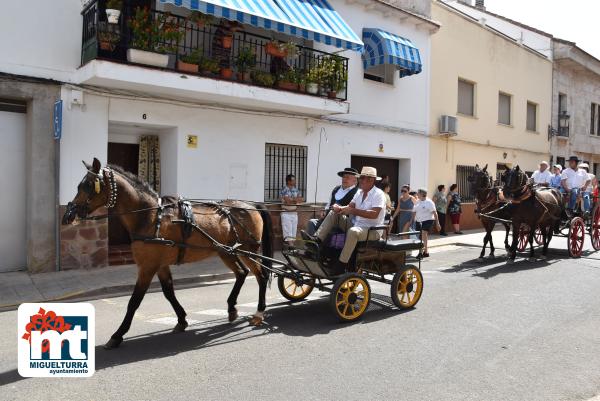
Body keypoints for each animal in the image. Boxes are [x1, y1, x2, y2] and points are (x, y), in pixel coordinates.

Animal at [62, 158, 274, 348]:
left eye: (89, 185)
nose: (68, 215)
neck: (150, 216)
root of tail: (251, 205)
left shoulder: (147, 266)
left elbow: (134, 301)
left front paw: (118, 335)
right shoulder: (160, 265)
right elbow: (168, 292)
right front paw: (181, 320)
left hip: (250, 250)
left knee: (261, 276)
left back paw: (259, 312)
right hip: (226, 251)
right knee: (242, 273)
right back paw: (231, 308)